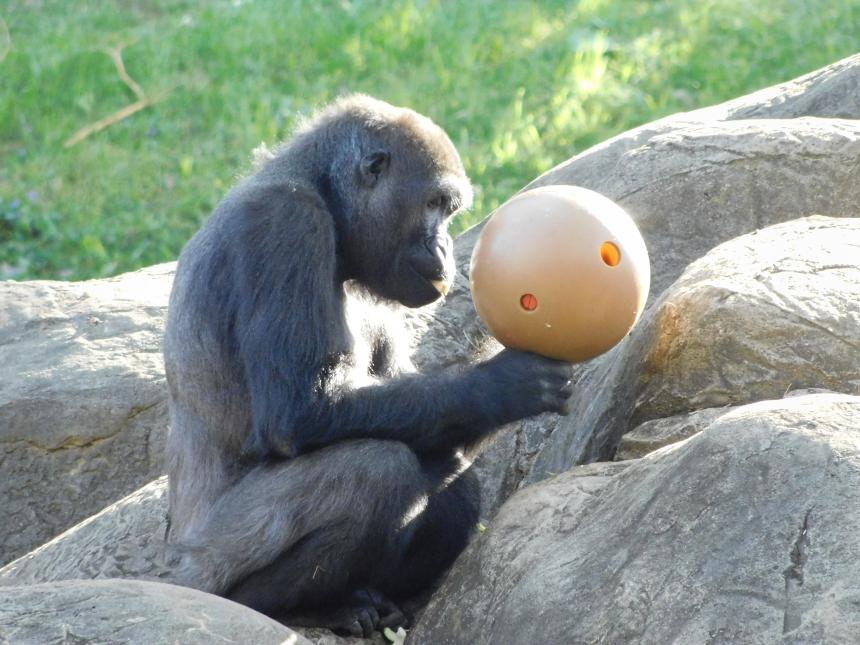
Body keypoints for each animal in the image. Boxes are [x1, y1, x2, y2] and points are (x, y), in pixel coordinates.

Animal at [165, 95, 576, 632]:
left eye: (450, 211)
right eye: (433, 204)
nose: (445, 247)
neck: (322, 192)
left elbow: (423, 404)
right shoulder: (285, 223)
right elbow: (300, 411)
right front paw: (505, 383)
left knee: (448, 474)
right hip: (205, 565)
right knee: (377, 469)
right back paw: (294, 605)